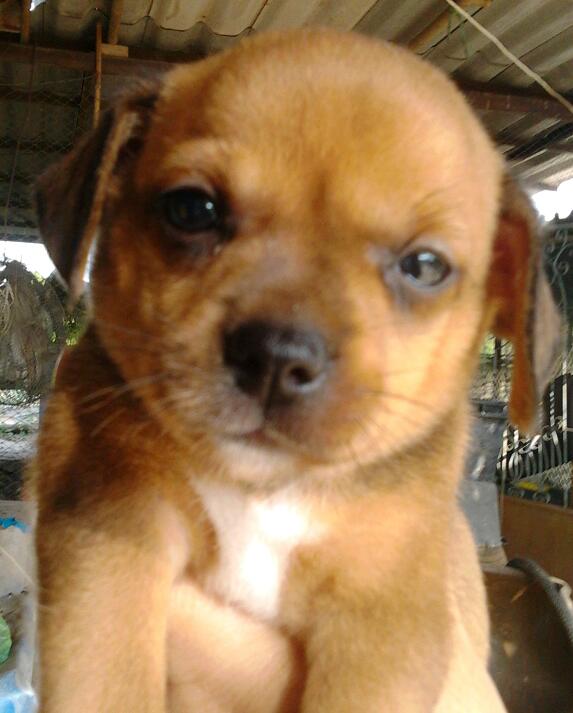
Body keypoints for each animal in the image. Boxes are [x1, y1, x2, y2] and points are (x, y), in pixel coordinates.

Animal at [32, 29, 560, 713]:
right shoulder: (109, 532)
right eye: (192, 209)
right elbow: (106, 679)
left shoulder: (383, 624)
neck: (264, 488)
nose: (276, 357)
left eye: (424, 266)